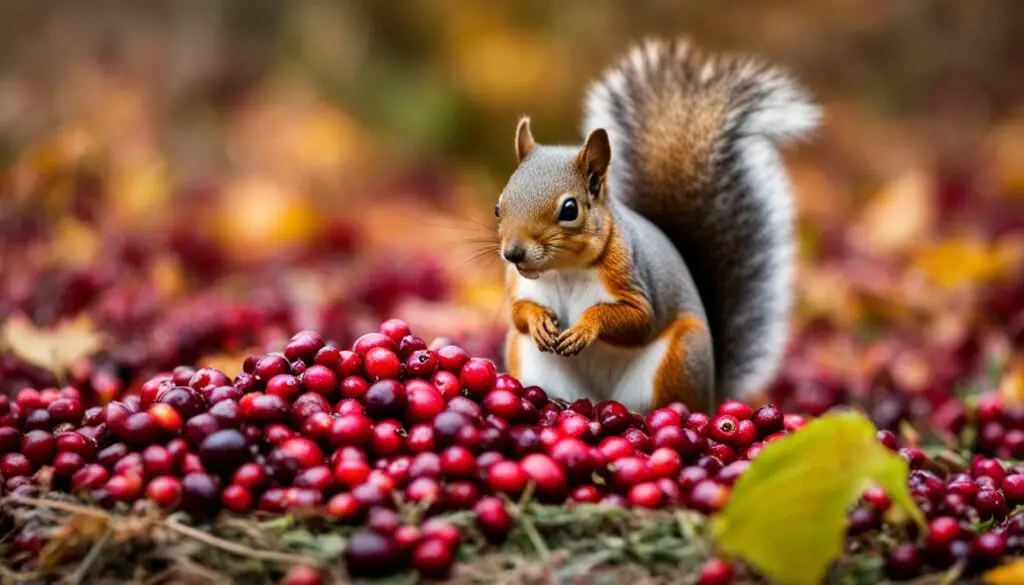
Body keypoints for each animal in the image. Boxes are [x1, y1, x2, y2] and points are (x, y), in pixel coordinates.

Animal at [491, 37, 819, 411]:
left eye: (570, 209)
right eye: (498, 207)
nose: (513, 253)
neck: (566, 271)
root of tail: (711, 396)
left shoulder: (633, 280)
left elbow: (640, 322)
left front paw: (586, 326)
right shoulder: (520, 286)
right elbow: (517, 313)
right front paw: (538, 320)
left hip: (678, 357)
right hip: (531, 360)